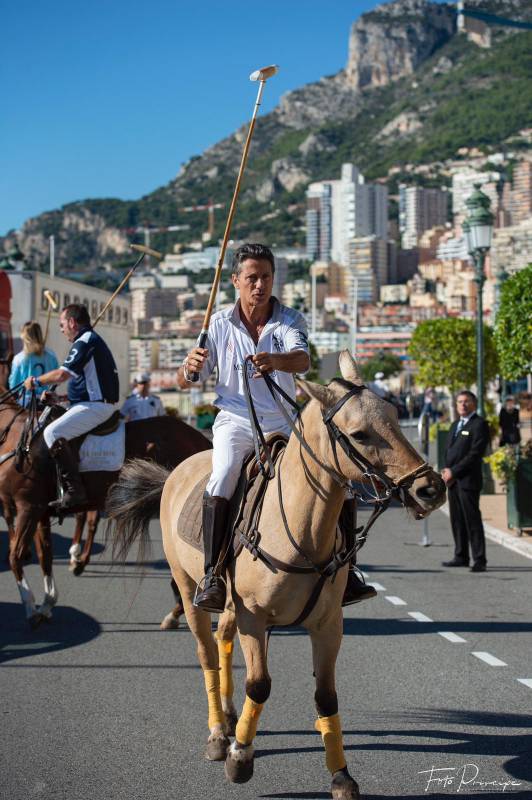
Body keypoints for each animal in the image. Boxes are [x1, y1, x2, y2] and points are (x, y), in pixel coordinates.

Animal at [0, 400, 212, 624]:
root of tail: (200, 438)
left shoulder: (28, 508)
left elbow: (15, 555)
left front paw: (30, 607)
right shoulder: (40, 514)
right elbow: (45, 556)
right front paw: (46, 604)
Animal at [110, 354, 446, 800]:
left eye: (394, 415)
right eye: (360, 433)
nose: (431, 488)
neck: (302, 531)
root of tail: (176, 471)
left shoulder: (328, 623)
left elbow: (325, 696)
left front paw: (341, 776)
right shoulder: (255, 618)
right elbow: (260, 685)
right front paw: (239, 757)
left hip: (231, 606)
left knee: (223, 640)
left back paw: (230, 717)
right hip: (188, 587)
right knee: (206, 653)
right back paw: (218, 733)